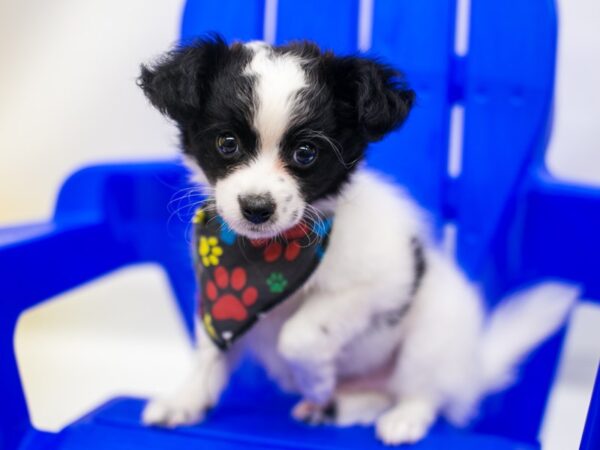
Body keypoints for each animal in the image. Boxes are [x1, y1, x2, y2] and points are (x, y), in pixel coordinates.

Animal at [136, 37, 576, 444]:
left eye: (306, 153)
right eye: (226, 143)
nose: (256, 208)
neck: (268, 257)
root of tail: (471, 368)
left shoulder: (382, 282)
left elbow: (298, 334)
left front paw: (314, 380)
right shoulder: (216, 303)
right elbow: (210, 351)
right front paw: (184, 401)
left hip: (431, 337)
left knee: (422, 393)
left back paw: (400, 417)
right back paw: (337, 405)